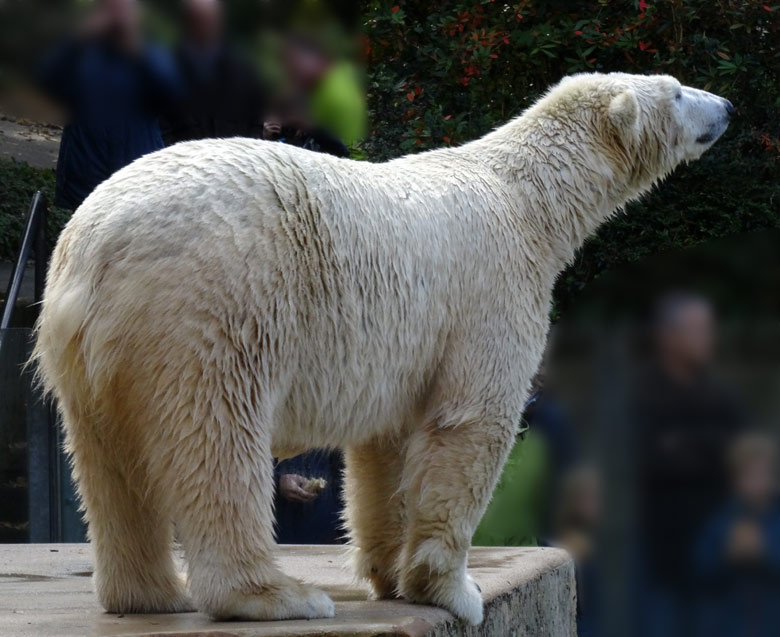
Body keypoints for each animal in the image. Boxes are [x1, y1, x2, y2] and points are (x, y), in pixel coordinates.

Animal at [32, 72, 732, 624]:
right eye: (675, 90)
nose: (725, 106)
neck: (526, 200)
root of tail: (97, 241)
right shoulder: (490, 289)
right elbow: (472, 424)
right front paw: (452, 591)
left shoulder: (399, 344)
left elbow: (385, 449)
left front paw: (389, 575)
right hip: (213, 303)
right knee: (217, 437)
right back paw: (277, 595)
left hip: (88, 348)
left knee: (107, 457)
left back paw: (149, 594)